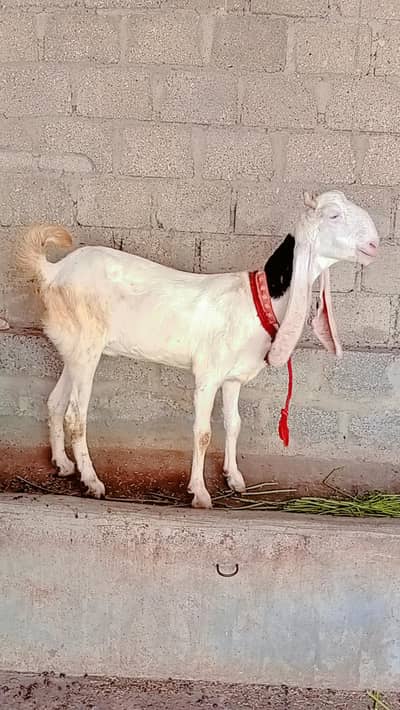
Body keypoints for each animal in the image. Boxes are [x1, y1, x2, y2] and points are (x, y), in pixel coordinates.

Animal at [16, 190, 379, 509]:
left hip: (74, 348)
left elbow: (234, 423)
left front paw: (235, 479)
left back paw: (63, 464)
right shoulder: (208, 373)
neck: (259, 298)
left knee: (55, 402)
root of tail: (54, 270)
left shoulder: (233, 378)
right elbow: (203, 432)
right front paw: (200, 494)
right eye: (334, 215)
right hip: (87, 346)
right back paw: (92, 482)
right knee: (76, 416)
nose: (375, 244)